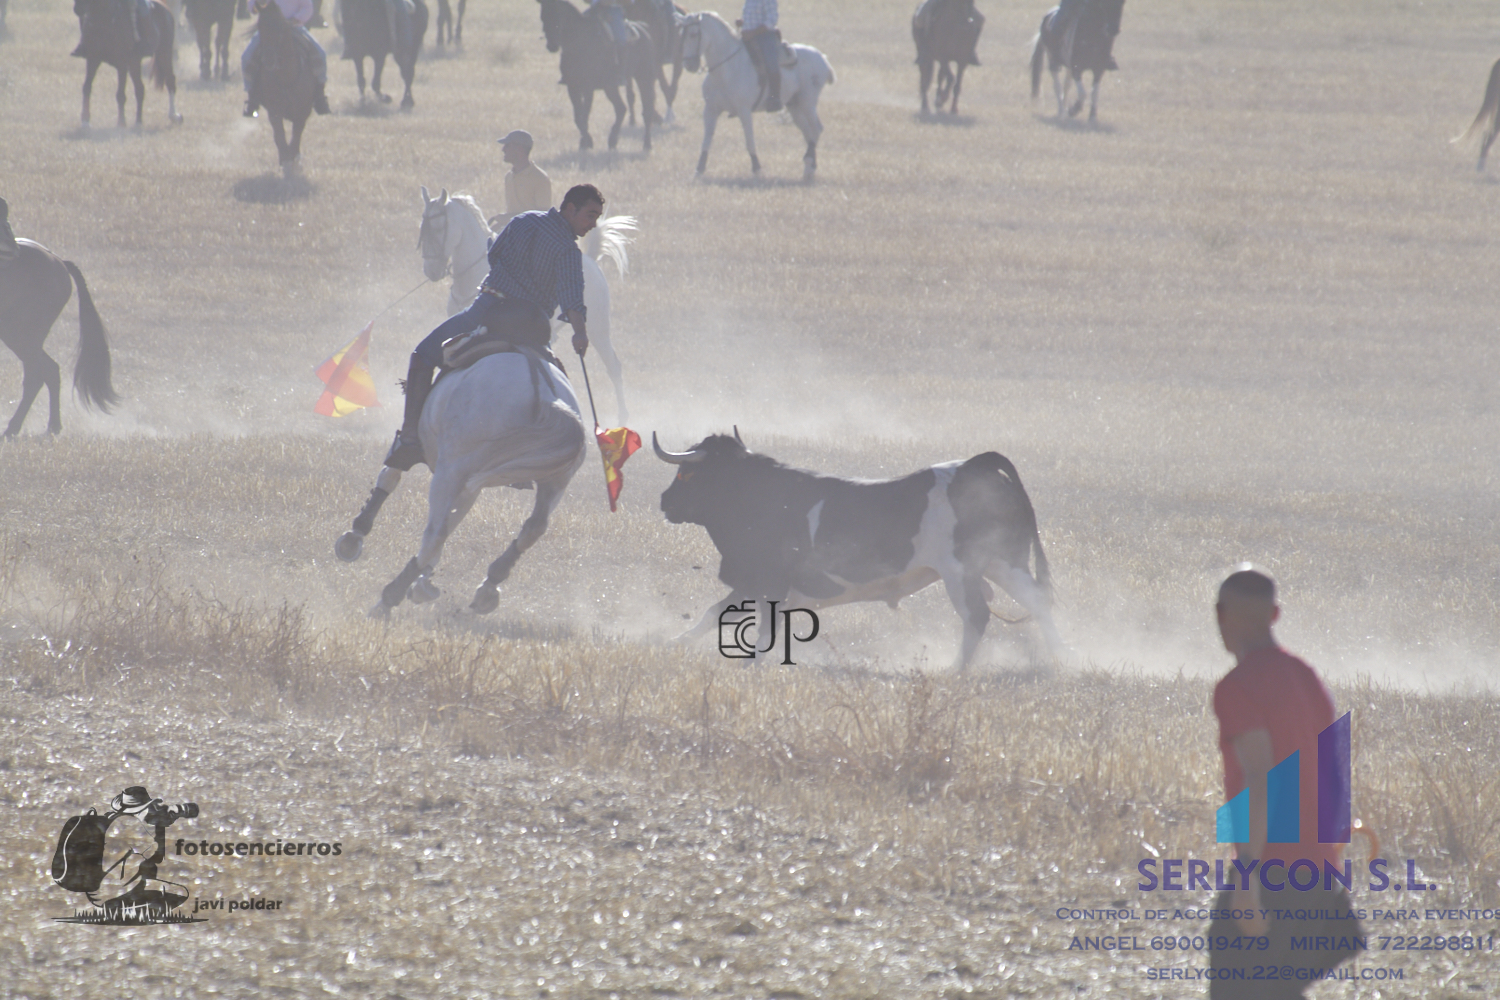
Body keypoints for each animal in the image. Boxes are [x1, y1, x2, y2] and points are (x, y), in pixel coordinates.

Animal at [0, 241, 119, 438]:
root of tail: (59, 261)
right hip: (26, 341)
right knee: (50, 371)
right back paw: (52, 427)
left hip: (21, 337)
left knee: (37, 377)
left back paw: (13, 429)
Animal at [333, 352, 588, 620]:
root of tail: (543, 397)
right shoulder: (471, 484)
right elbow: (453, 518)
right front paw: (425, 581)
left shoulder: (446, 468)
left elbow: (390, 476)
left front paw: (354, 537)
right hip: (555, 482)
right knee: (533, 528)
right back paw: (487, 589)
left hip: (451, 472)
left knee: (434, 534)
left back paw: (387, 600)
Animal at [538, 0, 656, 152]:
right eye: (543, 17)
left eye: (558, 16)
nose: (551, 46)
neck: (579, 44)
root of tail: (643, 29)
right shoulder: (572, 87)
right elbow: (578, 117)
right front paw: (585, 141)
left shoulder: (588, 88)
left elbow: (584, 115)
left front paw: (587, 142)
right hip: (610, 87)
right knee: (621, 109)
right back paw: (613, 141)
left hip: (644, 79)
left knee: (647, 110)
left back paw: (646, 144)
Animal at [654, 430, 1063, 668]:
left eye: (686, 474)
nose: (664, 501)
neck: (760, 497)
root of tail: (974, 466)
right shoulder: (754, 584)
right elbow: (713, 612)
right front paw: (673, 641)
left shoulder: (769, 582)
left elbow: (761, 629)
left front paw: (751, 663)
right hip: (1004, 564)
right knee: (1040, 603)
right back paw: (1064, 658)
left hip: (961, 573)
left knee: (977, 616)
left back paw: (955, 670)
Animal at [678, 11, 834, 179]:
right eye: (681, 34)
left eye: (693, 34)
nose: (689, 65)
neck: (727, 68)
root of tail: (823, 57)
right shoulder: (710, 110)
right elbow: (706, 140)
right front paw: (699, 169)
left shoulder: (744, 111)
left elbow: (750, 141)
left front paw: (757, 169)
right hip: (795, 106)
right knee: (809, 133)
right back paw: (809, 169)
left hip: (808, 102)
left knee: (816, 129)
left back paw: (809, 162)